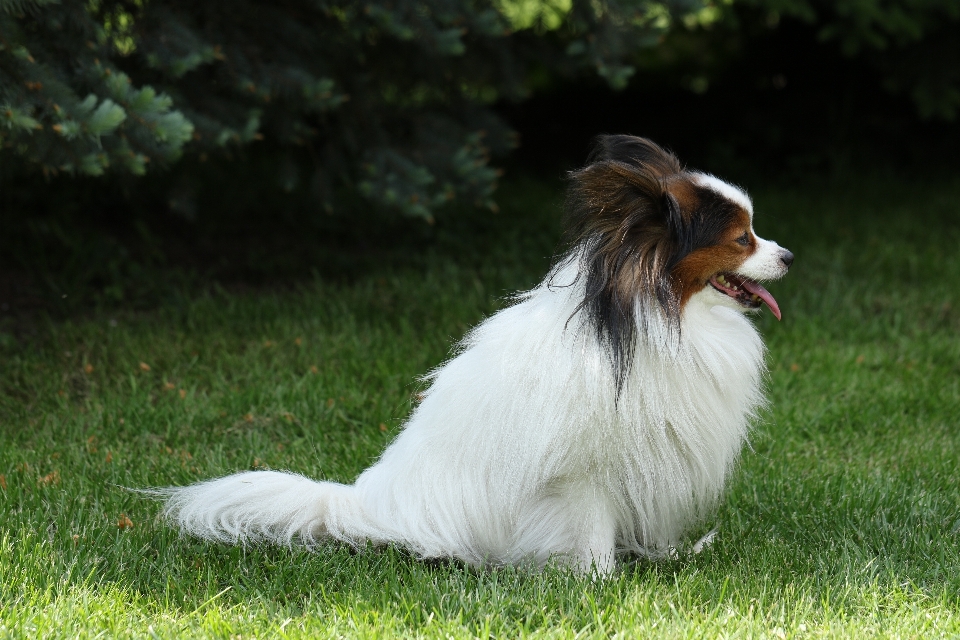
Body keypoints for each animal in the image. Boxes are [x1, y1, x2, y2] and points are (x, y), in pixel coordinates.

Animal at [159, 135, 796, 576]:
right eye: (742, 239)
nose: (789, 256)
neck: (665, 316)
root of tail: (365, 505)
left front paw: (663, 558)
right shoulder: (582, 472)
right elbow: (590, 533)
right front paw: (600, 584)